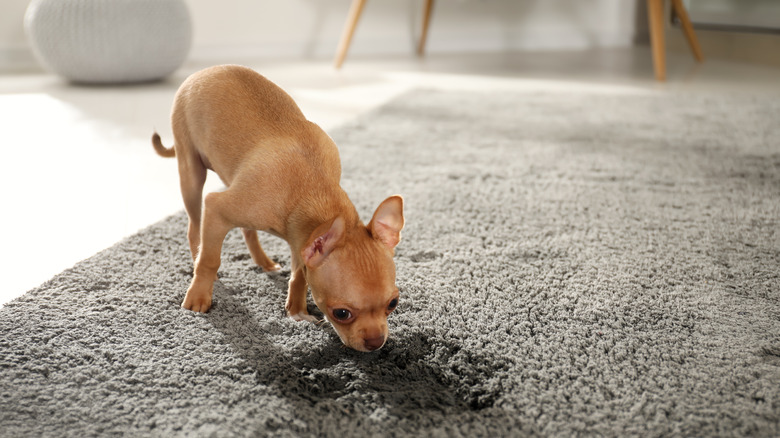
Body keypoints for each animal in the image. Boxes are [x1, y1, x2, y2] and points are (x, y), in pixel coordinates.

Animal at [155, 65, 406, 352]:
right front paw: (198, 297)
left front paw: (296, 310)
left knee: (246, 230)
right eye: (341, 313)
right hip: (191, 173)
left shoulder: (300, 240)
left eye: (393, 304)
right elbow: (210, 259)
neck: (312, 188)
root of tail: (207, 70)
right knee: (194, 229)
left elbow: (299, 275)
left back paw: (263, 262)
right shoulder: (216, 208)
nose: (376, 343)